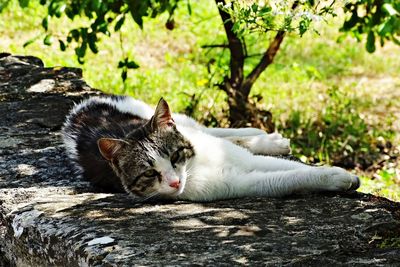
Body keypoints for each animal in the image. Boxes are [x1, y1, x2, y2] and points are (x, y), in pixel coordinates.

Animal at [62, 95, 360, 202]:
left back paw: (264, 138)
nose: (174, 182)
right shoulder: (239, 183)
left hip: (164, 116)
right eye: (149, 174)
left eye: (174, 156)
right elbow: (289, 177)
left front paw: (336, 174)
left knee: (209, 129)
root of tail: (76, 112)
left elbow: (294, 166)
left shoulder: (243, 160)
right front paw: (338, 179)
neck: (195, 165)